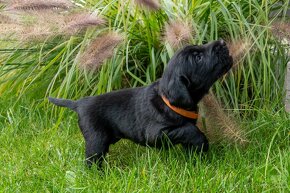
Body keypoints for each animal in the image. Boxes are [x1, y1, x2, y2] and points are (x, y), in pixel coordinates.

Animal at [48, 40, 232, 167]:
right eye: (198, 57)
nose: (222, 42)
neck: (168, 100)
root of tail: (79, 103)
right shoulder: (157, 134)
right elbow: (189, 130)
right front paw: (202, 144)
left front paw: (195, 159)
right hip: (96, 138)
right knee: (92, 159)